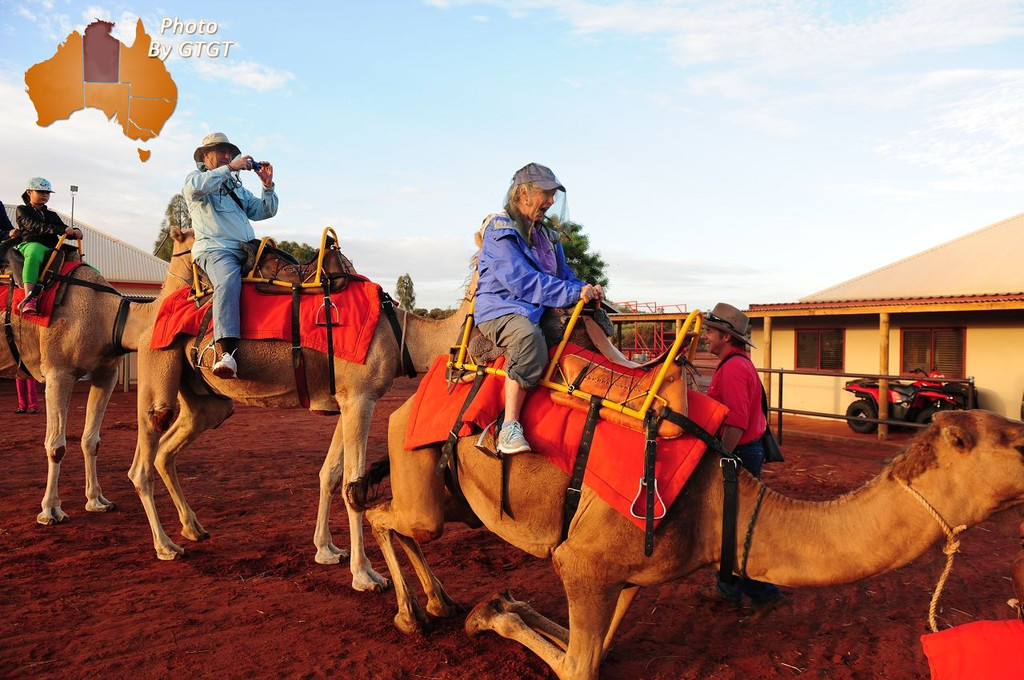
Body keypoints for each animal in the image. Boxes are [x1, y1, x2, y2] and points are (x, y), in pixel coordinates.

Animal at [0, 262, 152, 522]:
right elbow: (56, 447)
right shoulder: (58, 372)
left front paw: (97, 500)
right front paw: (50, 510)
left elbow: (91, 441)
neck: (106, 315)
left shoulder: (106, 374)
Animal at [129, 225, 475, 593]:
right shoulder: (360, 398)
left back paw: (193, 528)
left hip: (206, 402)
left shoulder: (349, 400)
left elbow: (330, 474)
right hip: (157, 366)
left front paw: (326, 549)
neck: (403, 338)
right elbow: (352, 484)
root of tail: (155, 316)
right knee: (144, 458)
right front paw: (364, 574)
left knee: (167, 450)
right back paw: (166, 545)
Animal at [362, 405, 1024, 675]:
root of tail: (404, 405)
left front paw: (497, 603)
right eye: (1016, 441)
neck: (717, 508)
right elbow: (579, 666)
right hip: (418, 470)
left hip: (454, 496)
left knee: (397, 517)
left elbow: (594, 647)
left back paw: (440, 602)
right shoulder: (583, 562)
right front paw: (488, 613)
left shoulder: (630, 573)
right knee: (381, 513)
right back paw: (409, 614)